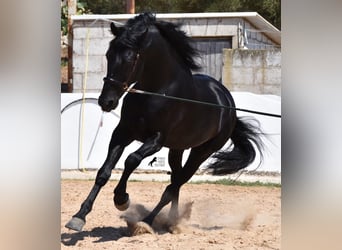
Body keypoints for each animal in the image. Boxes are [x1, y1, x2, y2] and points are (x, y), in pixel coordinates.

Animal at [65, 12, 262, 232]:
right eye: (108, 55)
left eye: (131, 57)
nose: (106, 102)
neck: (156, 92)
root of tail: (229, 104)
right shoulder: (123, 132)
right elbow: (103, 172)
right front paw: (79, 217)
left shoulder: (157, 139)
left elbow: (131, 159)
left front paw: (121, 199)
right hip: (177, 149)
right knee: (175, 179)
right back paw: (172, 222)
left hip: (202, 152)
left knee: (174, 185)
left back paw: (148, 222)